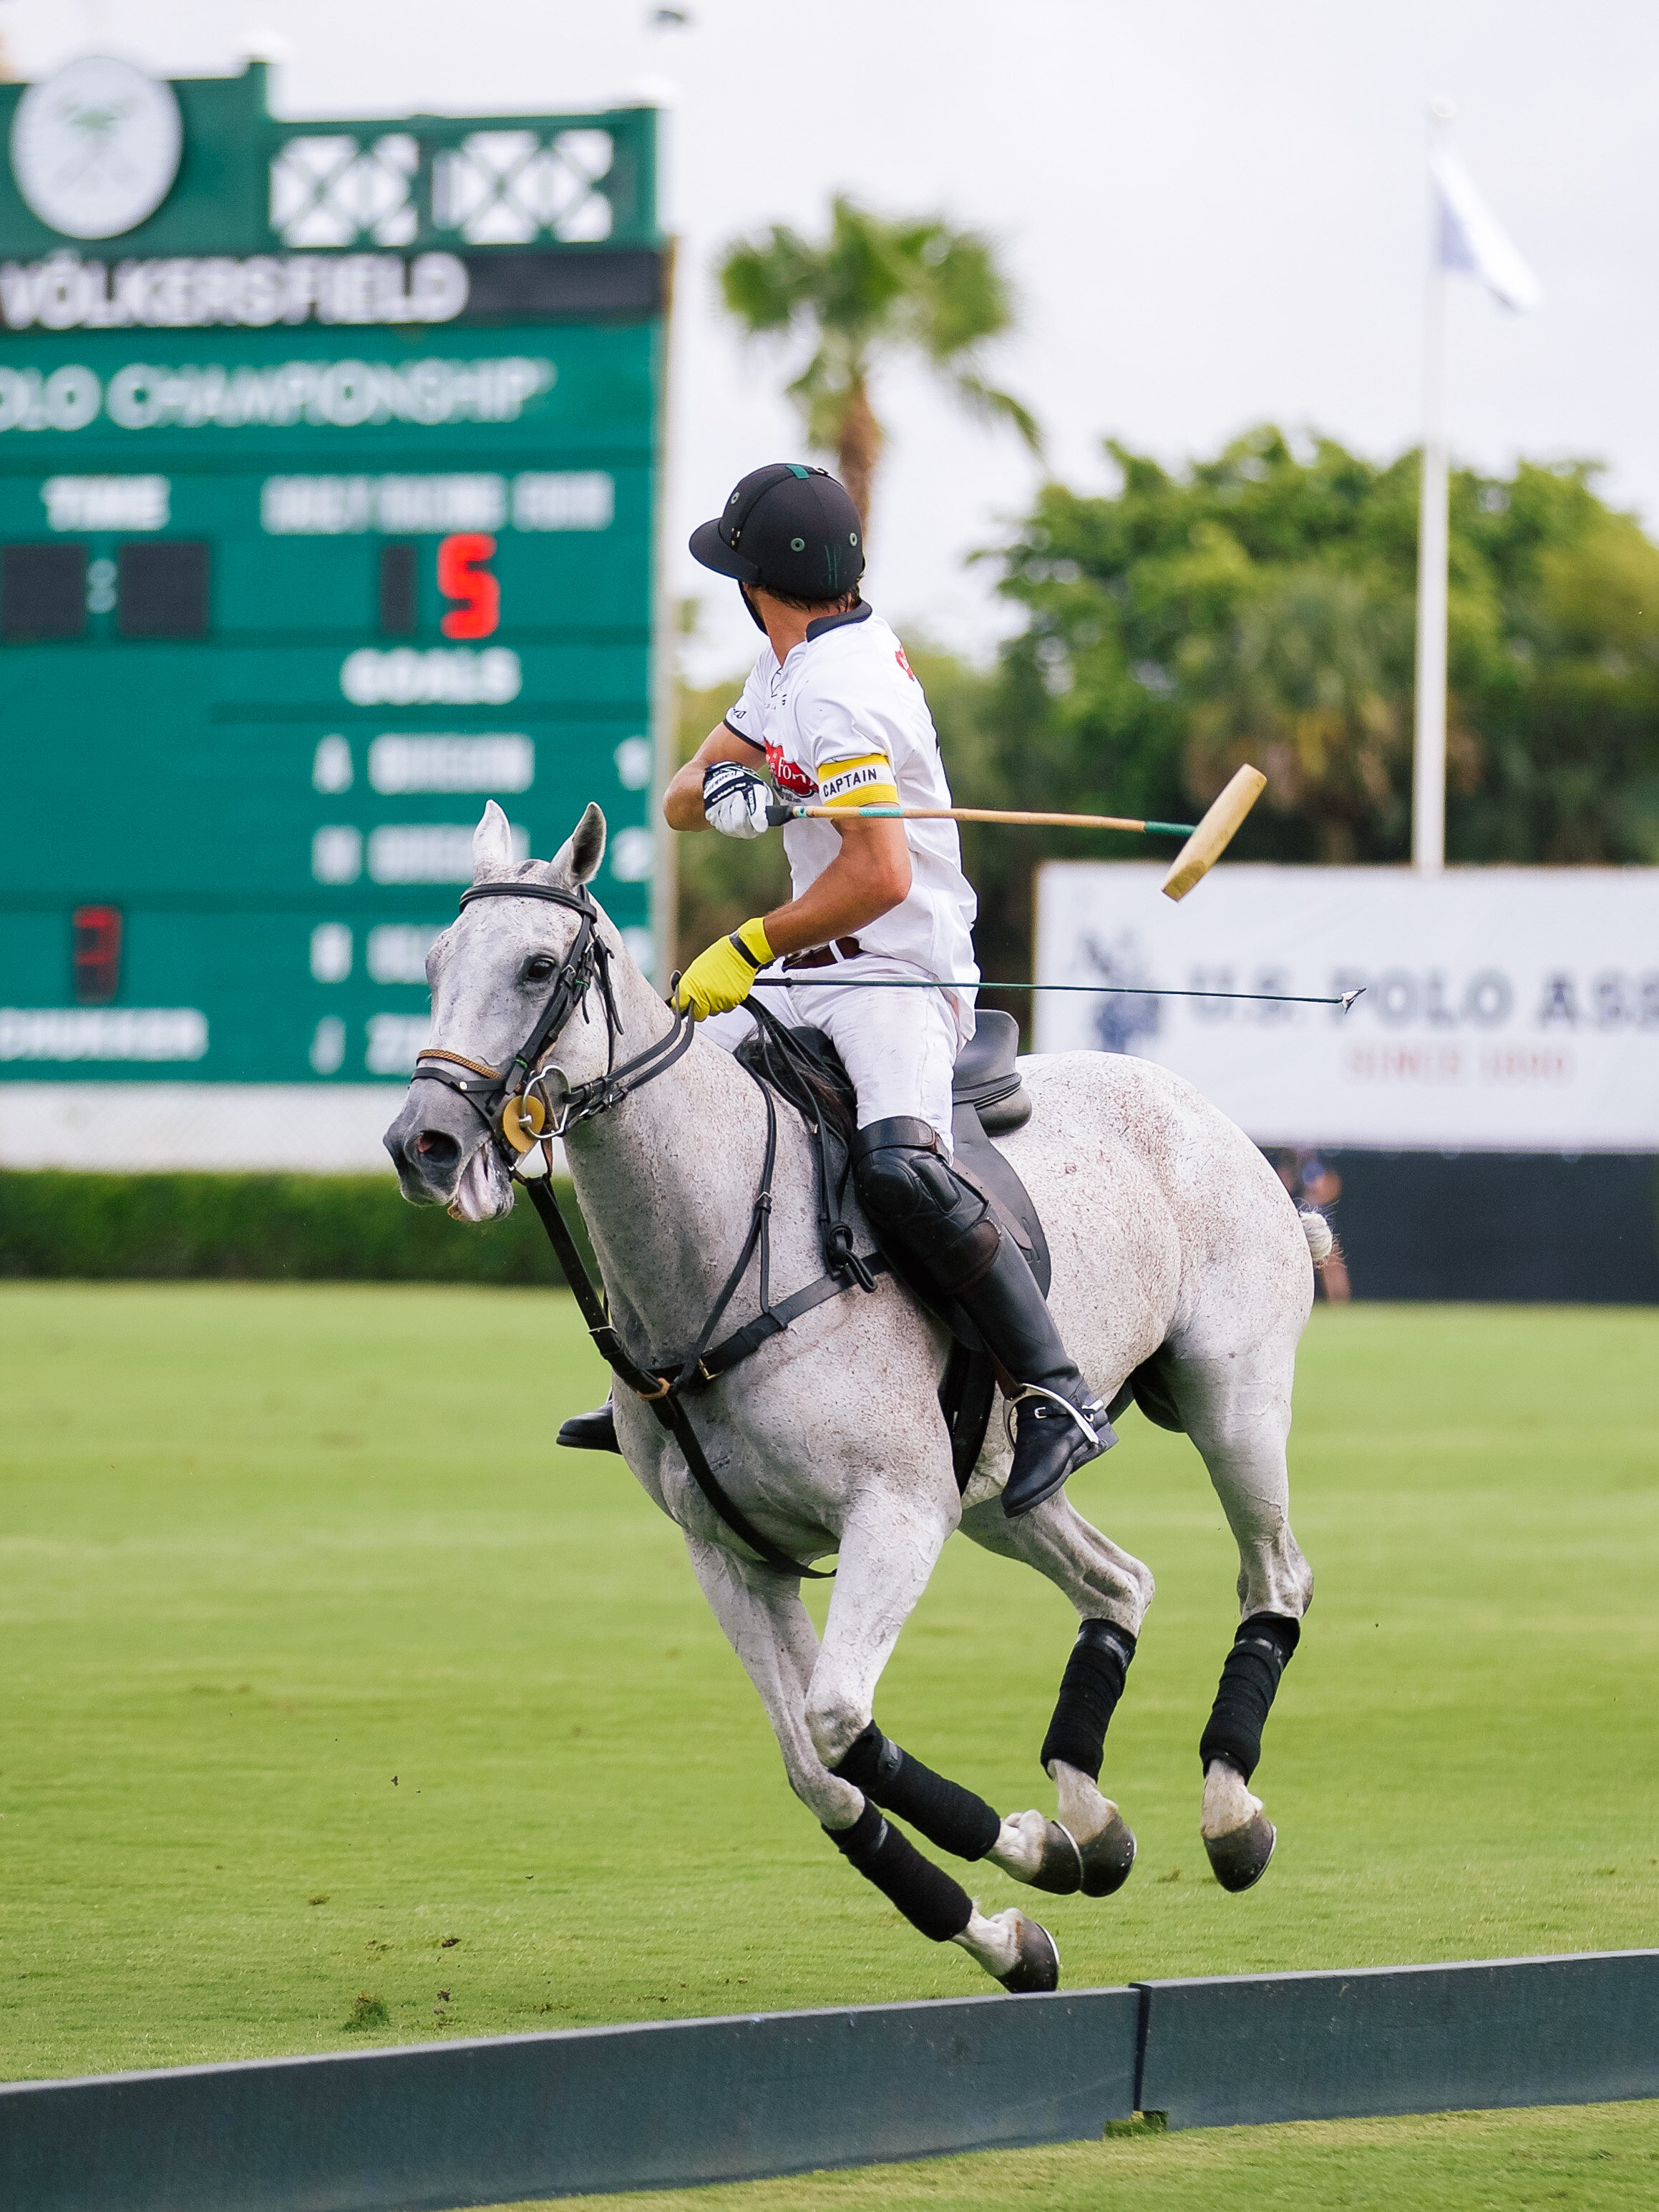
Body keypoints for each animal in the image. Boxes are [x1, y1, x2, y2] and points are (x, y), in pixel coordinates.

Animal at [380, 805, 1327, 1999]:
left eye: (539, 966)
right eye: (433, 964)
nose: (422, 1142)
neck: (715, 1252)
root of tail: (1207, 1112)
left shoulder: (894, 1511)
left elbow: (837, 1719)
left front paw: (1026, 1848)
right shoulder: (732, 1552)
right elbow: (817, 1772)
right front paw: (1014, 1920)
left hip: (1229, 1392)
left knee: (1273, 1573)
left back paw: (1228, 1811)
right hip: (996, 1490)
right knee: (1119, 1578)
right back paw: (1092, 1813)